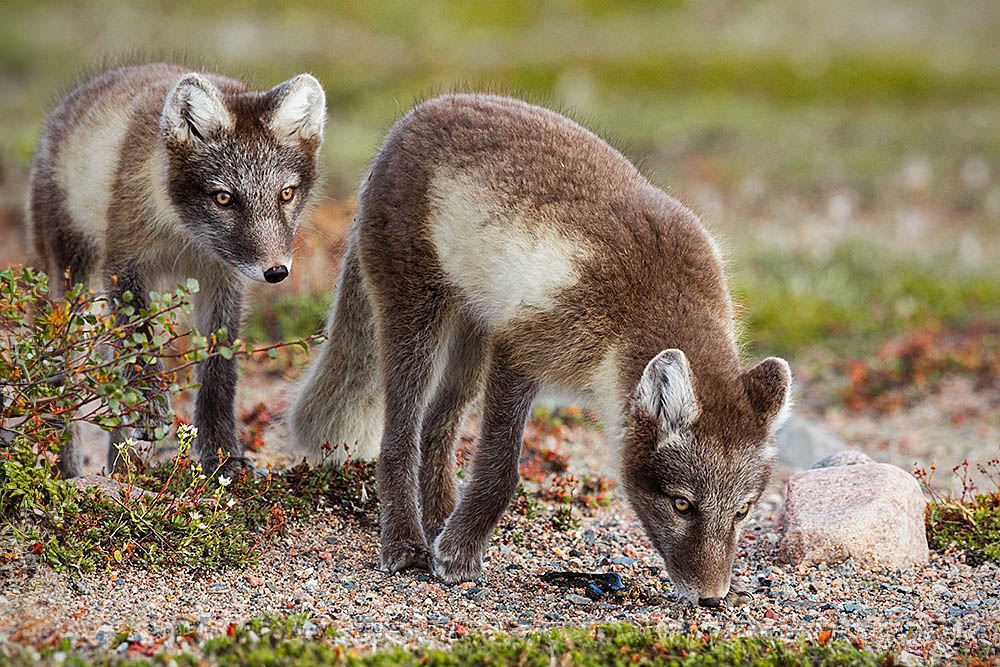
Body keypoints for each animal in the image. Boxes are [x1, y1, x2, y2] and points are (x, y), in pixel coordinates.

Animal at [29, 62, 326, 478]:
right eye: (224, 198)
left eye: (286, 194)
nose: (276, 272)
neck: (184, 236)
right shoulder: (123, 266)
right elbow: (138, 338)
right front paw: (149, 405)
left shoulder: (222, 280)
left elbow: (219, 372)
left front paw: (223, 456)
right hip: (74, 282)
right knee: (62, 371)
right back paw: (68, 469)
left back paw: (121, 470)